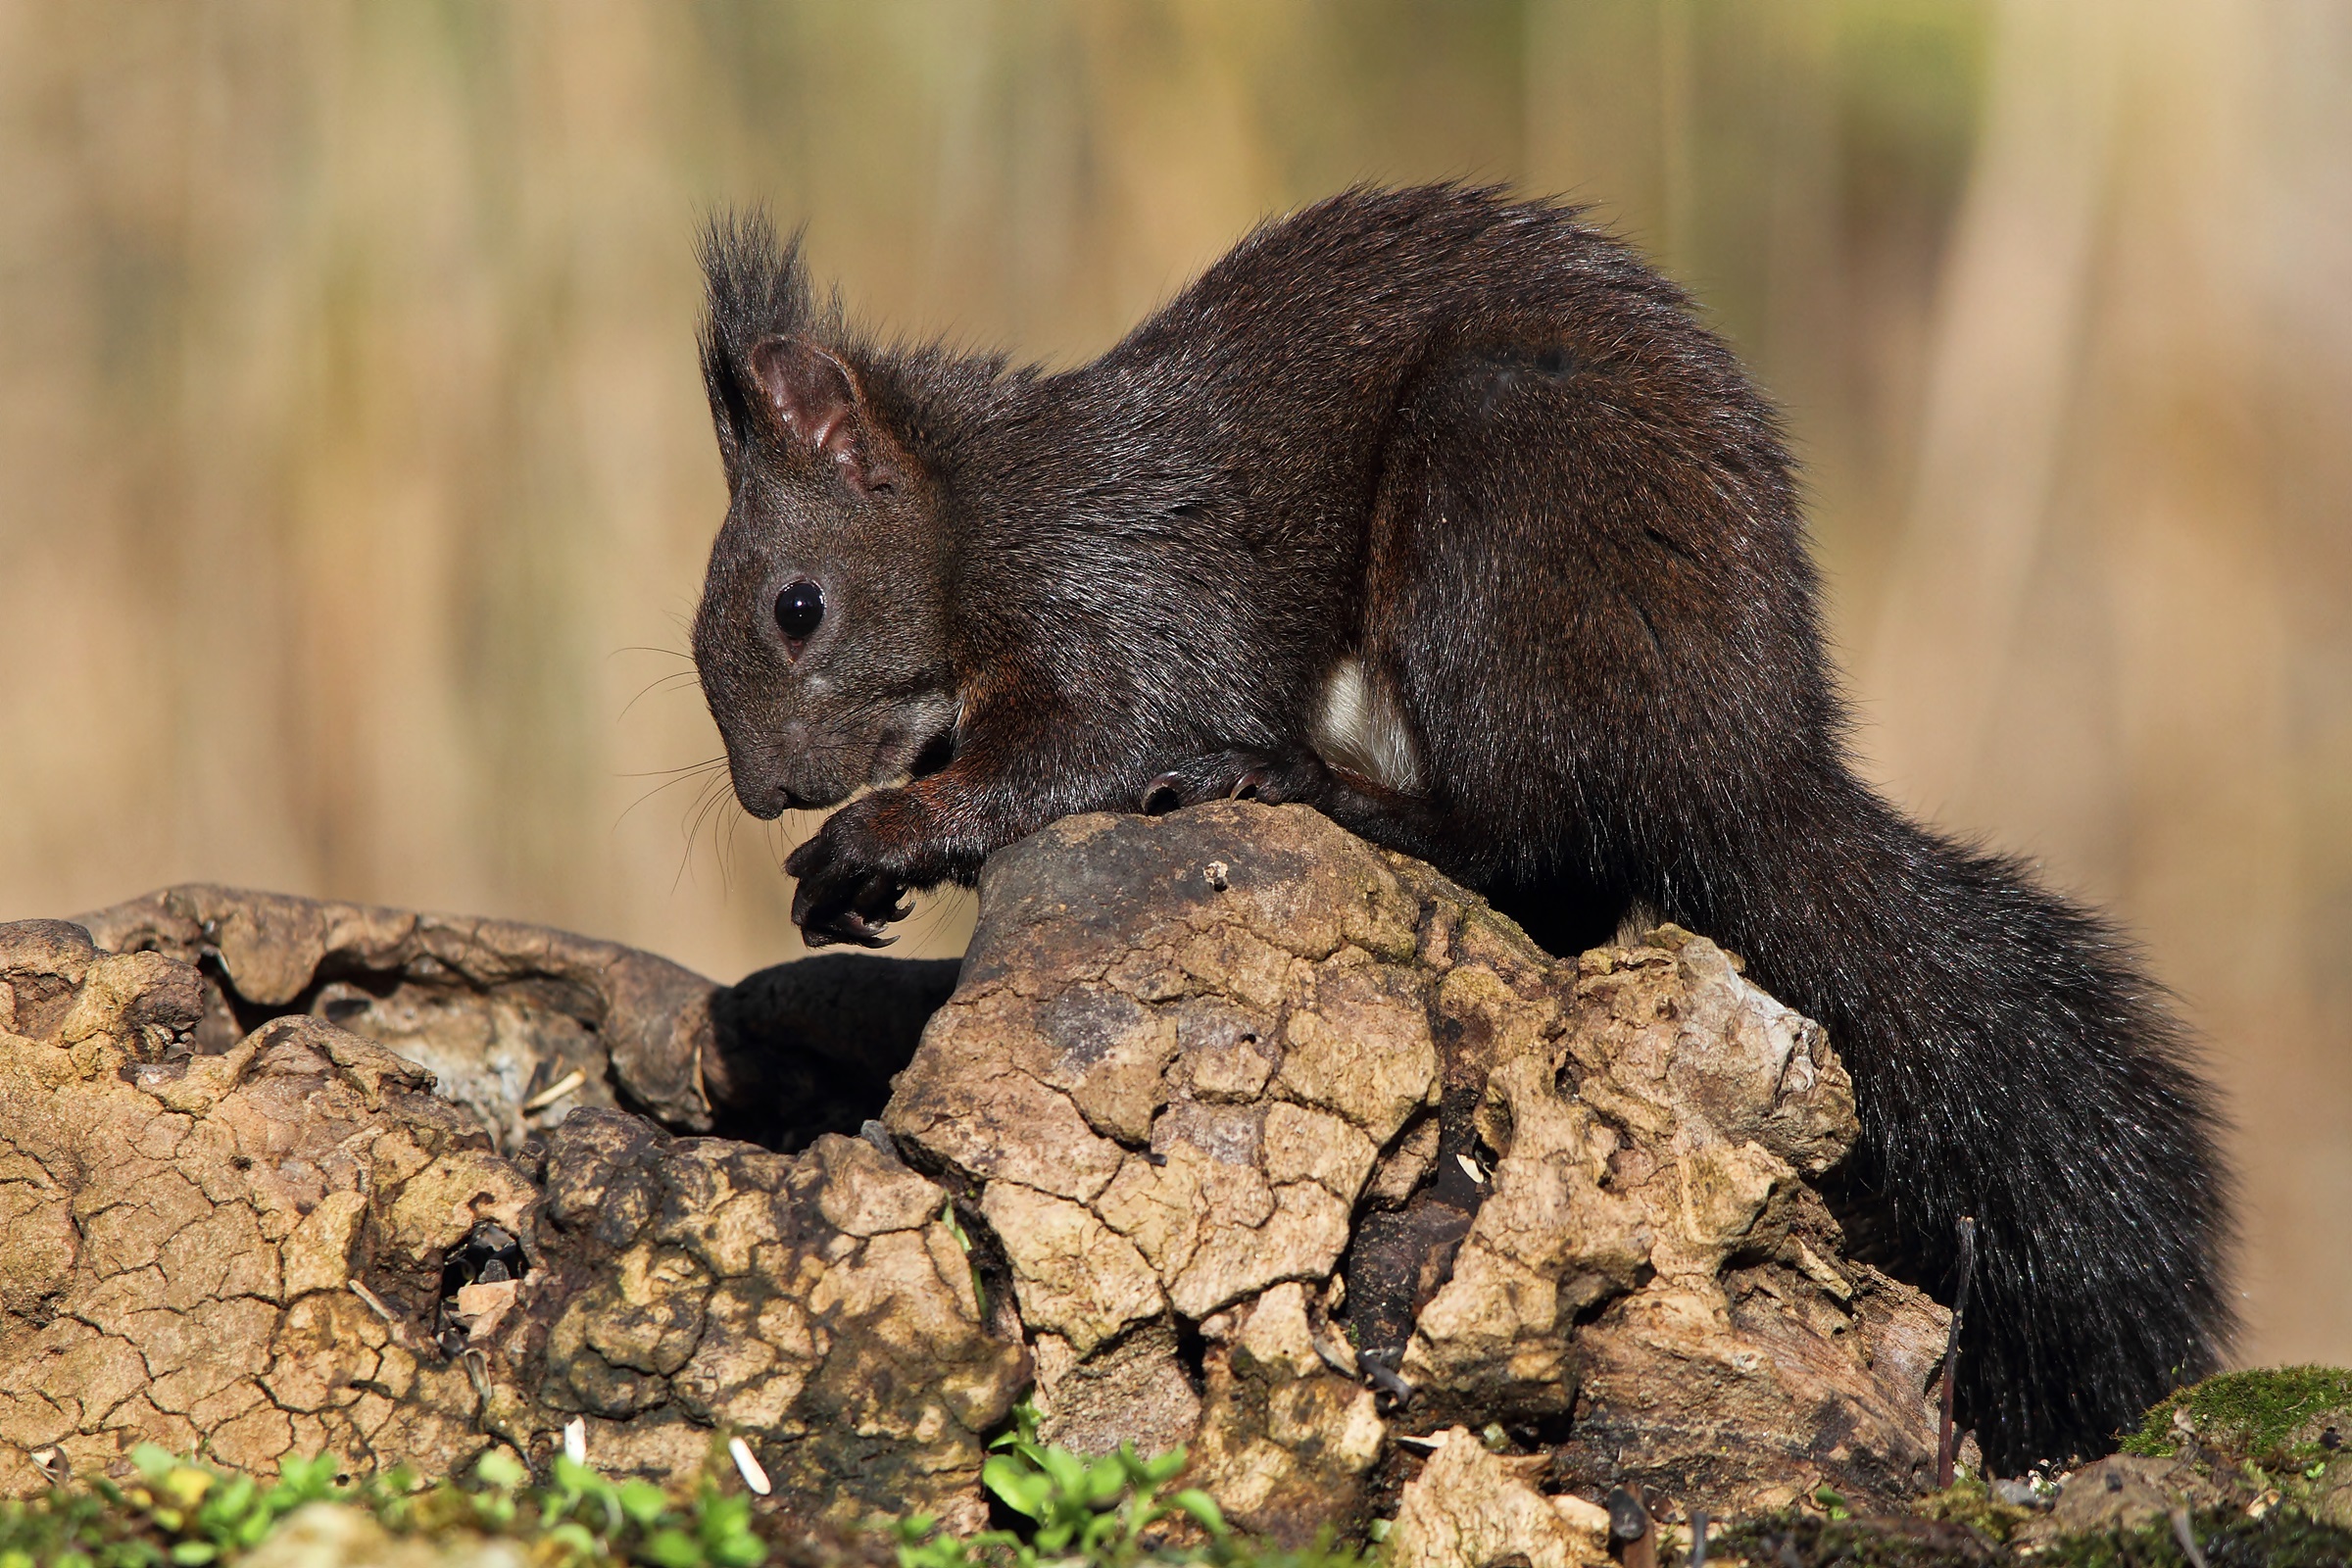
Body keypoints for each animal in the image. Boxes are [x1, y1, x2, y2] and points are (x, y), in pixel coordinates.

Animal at [688, 185, 2231, 1470]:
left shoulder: (1126, 599)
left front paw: (874, 838)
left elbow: (1090, 748)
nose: (768, 792)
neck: (981, 512)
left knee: (1505, 823)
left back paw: (1295, 784)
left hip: (1499, 496)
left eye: (797, 608)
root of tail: (1746, 762)